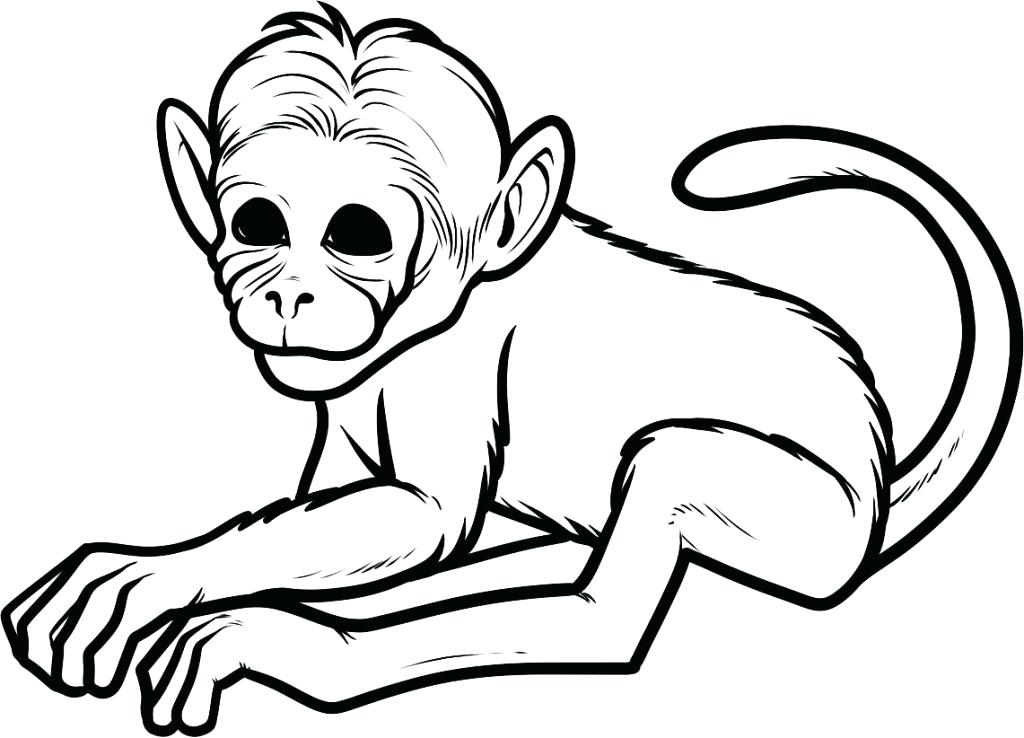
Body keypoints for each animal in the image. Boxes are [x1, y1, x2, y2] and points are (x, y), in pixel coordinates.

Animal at [3, 4, 1020, 735]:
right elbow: (337, 511)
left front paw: (181, 584)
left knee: (612, 591)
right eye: (258, 224)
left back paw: (313, 650)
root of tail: (878, 477)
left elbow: (426, 516)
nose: (289, 294)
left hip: (811, 520)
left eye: (356, 235)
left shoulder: (447, 367)